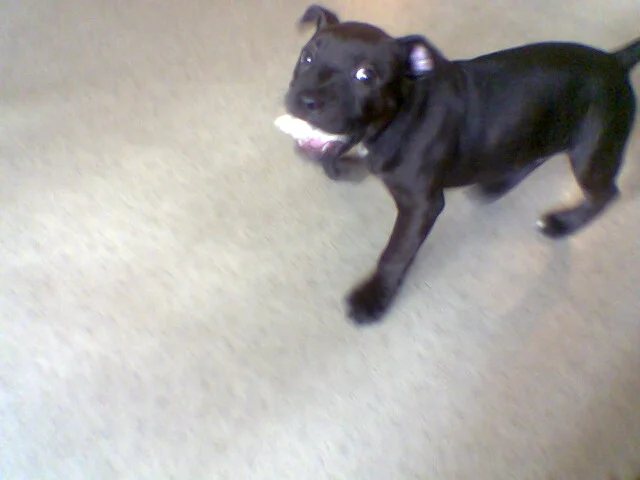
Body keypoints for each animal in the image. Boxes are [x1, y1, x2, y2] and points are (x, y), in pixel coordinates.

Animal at [282, 4, 640, 324]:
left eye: (365, 75)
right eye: (307, 57)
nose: (306, 98)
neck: (401, 114)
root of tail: (614, 61)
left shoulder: (421, 206)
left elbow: (395, 254)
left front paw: (373, 299)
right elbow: (352, 160)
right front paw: (342, 165)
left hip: (591, 152)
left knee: (605, 193)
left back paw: (564, 224)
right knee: (534, 155)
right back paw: (497, 184)